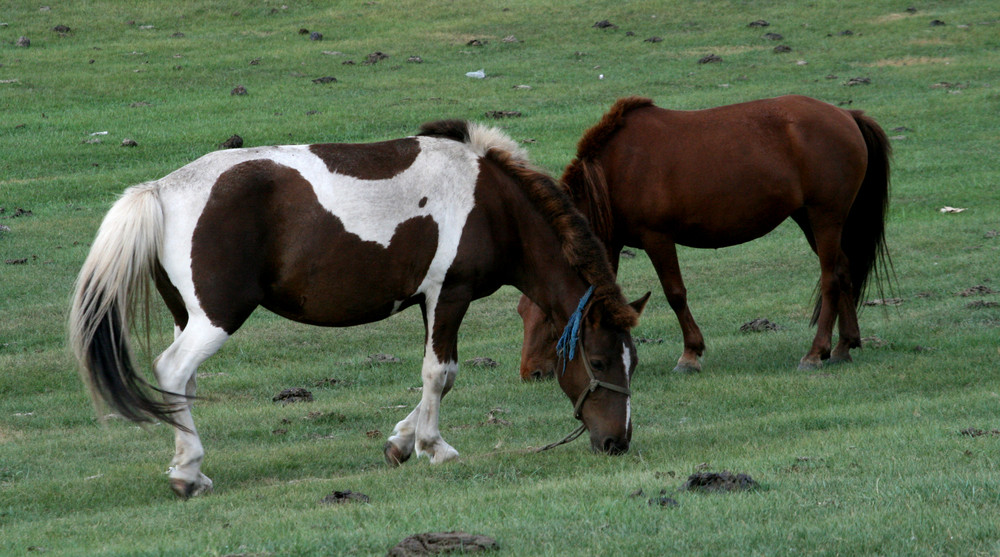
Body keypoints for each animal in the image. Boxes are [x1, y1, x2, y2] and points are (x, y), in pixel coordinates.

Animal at [70, 119, 648, 498]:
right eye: (599, 362)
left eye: (632, 362)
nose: (616, 442)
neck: (492, 204)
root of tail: (161, 190)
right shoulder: (449, 295)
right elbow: (442, 373)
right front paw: (433, 447)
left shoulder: (429, 302)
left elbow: (433, 379)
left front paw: (402, 441)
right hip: (217, 318)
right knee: (172, 370)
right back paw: (187, 475)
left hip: (187, 318)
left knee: (182, 384)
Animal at [516, 95, 892, 380]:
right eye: (521, 313)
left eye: (549, 317)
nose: (531, 373)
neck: (615, 170)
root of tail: (846, 115)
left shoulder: (658, 238)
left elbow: (675, 294)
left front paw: (690, 354)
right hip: (809, 219)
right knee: (843, 271)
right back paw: (844, 346)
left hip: (825, 217)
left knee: (831, 279)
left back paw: (816, 352)